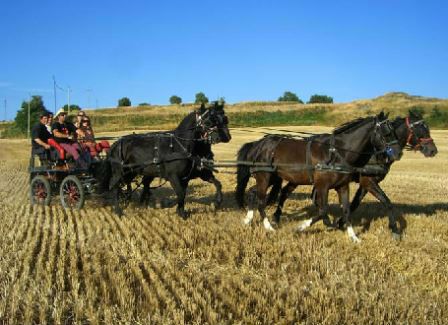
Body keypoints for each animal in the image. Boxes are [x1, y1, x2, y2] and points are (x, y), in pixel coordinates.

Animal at [96, 101, 233, 218]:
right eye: (210, 121)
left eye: (225, 119)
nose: (227, 137)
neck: (181, 145)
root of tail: (116, 143)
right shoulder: (173, 176)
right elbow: (181, 193)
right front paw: (175, 209)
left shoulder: (190, 176)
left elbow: (215, 184)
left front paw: (216, 202)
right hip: (119, 172)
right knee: (114, 187)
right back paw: (118, 210)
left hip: (132, 172)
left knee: (129, 185)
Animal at [236, 112, 400, 242]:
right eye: (387, 133)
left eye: (394, 131)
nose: (397, 154)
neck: (337, 152)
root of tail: (258, 144)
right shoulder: (322, 185)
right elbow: (323, 210)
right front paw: (301, 227)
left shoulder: (343, 186)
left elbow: (346, 210)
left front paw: (353, 236)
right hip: (265, 177)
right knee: (261, 201)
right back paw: (268, 226)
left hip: (271, 178)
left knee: (253, 193)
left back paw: (248, 219)